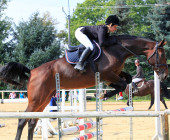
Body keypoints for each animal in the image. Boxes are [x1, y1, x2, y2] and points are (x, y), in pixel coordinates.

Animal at [0, 35, 168, 140]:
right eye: (162, 55)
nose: (164, 75)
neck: (117, 50)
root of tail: (32, 71)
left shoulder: (114, 74)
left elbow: (126, 80)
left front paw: (103, 94)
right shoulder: (107, 73)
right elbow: (121, 84)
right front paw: (102, 95)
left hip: (44, 99)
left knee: (32, 121)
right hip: (36, 99)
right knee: (23, 120)